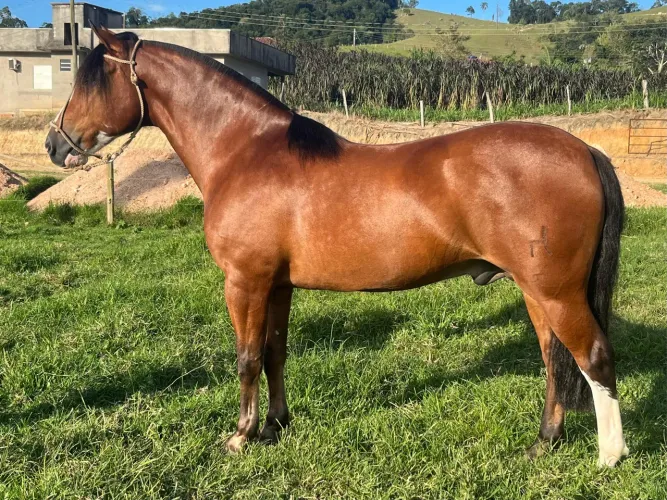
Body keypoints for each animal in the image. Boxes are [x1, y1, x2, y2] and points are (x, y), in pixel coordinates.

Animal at [45, 26, 628, 467]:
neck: (246, 150)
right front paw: (276, 426)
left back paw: (609, 457)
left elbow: (246, 358)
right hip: (536, 292)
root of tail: (584, 150)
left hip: (556, 292)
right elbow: (275, 353)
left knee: (592, 357)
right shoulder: (277, 285)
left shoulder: (245, 282)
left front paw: (240, 436)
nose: (54, 144)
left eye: (89, 81)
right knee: (555, 360)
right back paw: (543, 443)